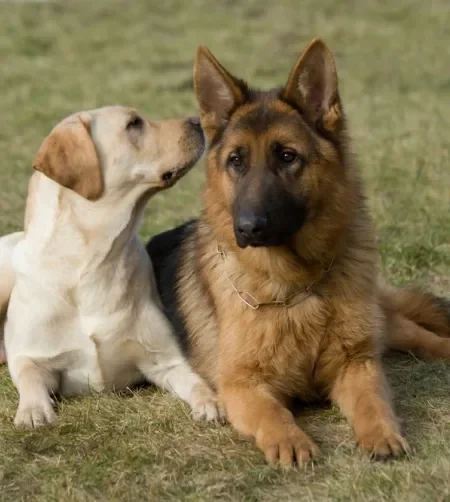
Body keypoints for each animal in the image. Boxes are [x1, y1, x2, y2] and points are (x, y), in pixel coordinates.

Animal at [0, 106, 221, 428]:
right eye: (134, 123)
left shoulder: (166, 360)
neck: (92, 261)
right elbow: (29, 376)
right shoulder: (31, 355)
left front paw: (210, 403)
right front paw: (33, 411)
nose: (198, 121)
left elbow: (196, 382)